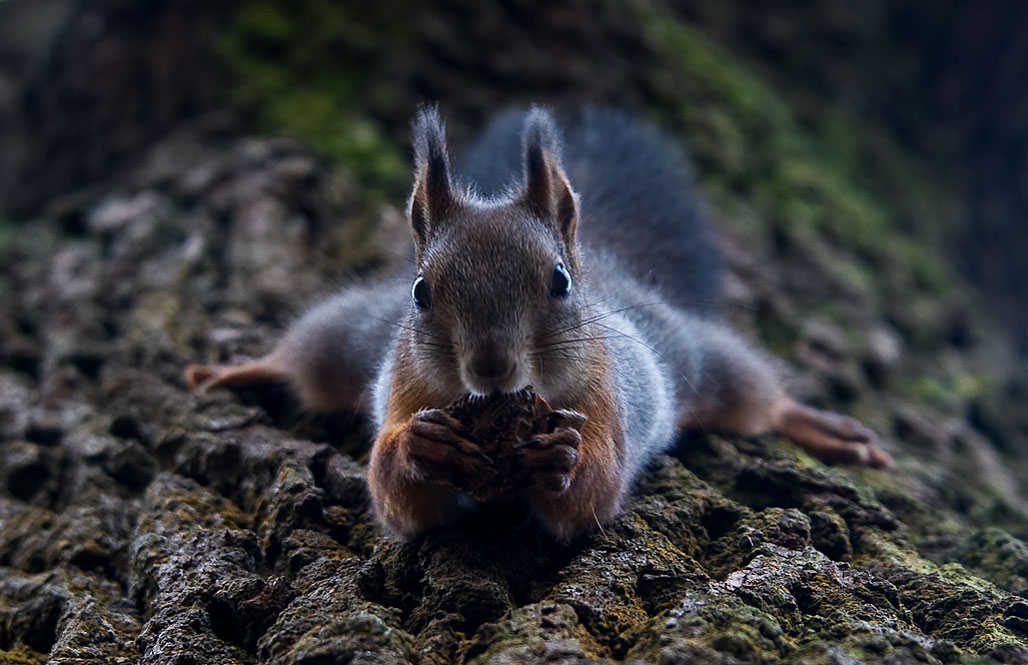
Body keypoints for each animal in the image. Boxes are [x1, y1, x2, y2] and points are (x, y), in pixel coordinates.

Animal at [182, 107, 892, 542]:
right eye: (421, 290)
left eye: (559, 283)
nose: (491, 368)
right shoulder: (403, 390)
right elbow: (399, 500)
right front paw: (418, 448)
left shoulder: (607, 398)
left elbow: (591, 498)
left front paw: (565, 459)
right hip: (348, 337)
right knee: (303, 359)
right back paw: (236, 369)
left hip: (701, 360)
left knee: (758, 399)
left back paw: (827, 431)